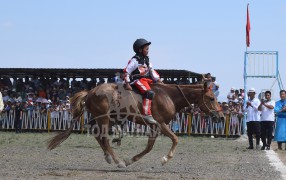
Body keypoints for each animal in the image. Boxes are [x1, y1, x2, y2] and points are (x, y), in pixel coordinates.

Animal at [48, 82, 225, 168]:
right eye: (211, 98)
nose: (222, 116)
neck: (169, 96)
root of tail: (90, 92)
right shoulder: (160, 123)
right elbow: (175, 139)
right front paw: (165, 159)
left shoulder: (155, 126)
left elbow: (149, 147)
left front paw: (131, 160)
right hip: (104, 119)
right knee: (103, 138)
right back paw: (117, 161)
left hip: (104, 118)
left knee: (98, 135)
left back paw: (109, 157)